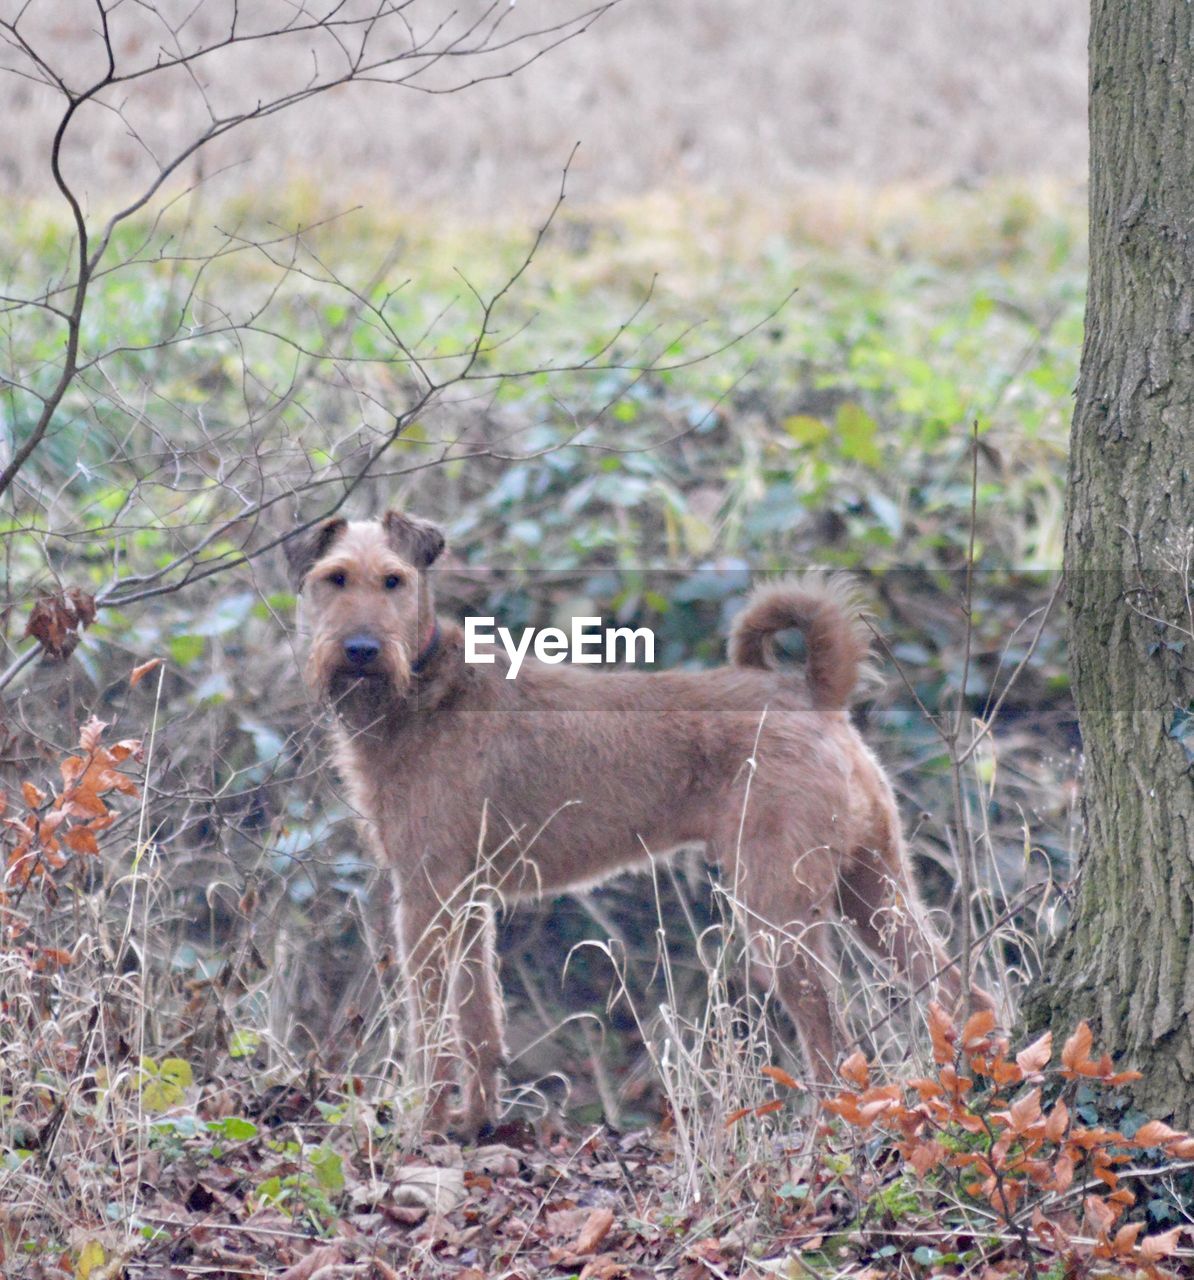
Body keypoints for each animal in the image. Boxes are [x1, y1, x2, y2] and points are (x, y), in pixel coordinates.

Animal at [289, 509, 967, 1131]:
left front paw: (422, 1131)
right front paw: (475, 1125)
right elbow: (479, 1023)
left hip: (779, 914)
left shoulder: (426, 898)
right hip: (873, 887)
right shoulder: (467, 900)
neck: (421, 688)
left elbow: (430, 1028)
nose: (361, 651)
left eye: (394, 580)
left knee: (835, 1041)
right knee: (954, 985)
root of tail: (813, 696)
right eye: (335, 578)